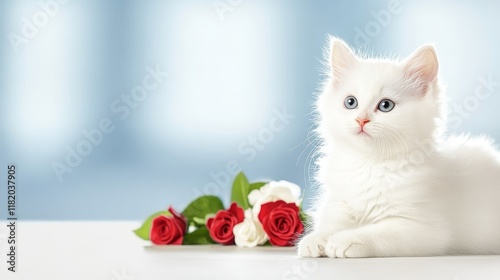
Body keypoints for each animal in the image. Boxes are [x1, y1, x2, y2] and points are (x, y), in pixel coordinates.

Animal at [296, 37, 500, 258]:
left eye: (386, 105)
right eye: (350, 102)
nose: (361, 120)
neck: (370, 164)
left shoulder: (423, 228)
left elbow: (377, 233)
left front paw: (346, 240)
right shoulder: (338, 203)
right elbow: (330, 224)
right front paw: (316, 239)